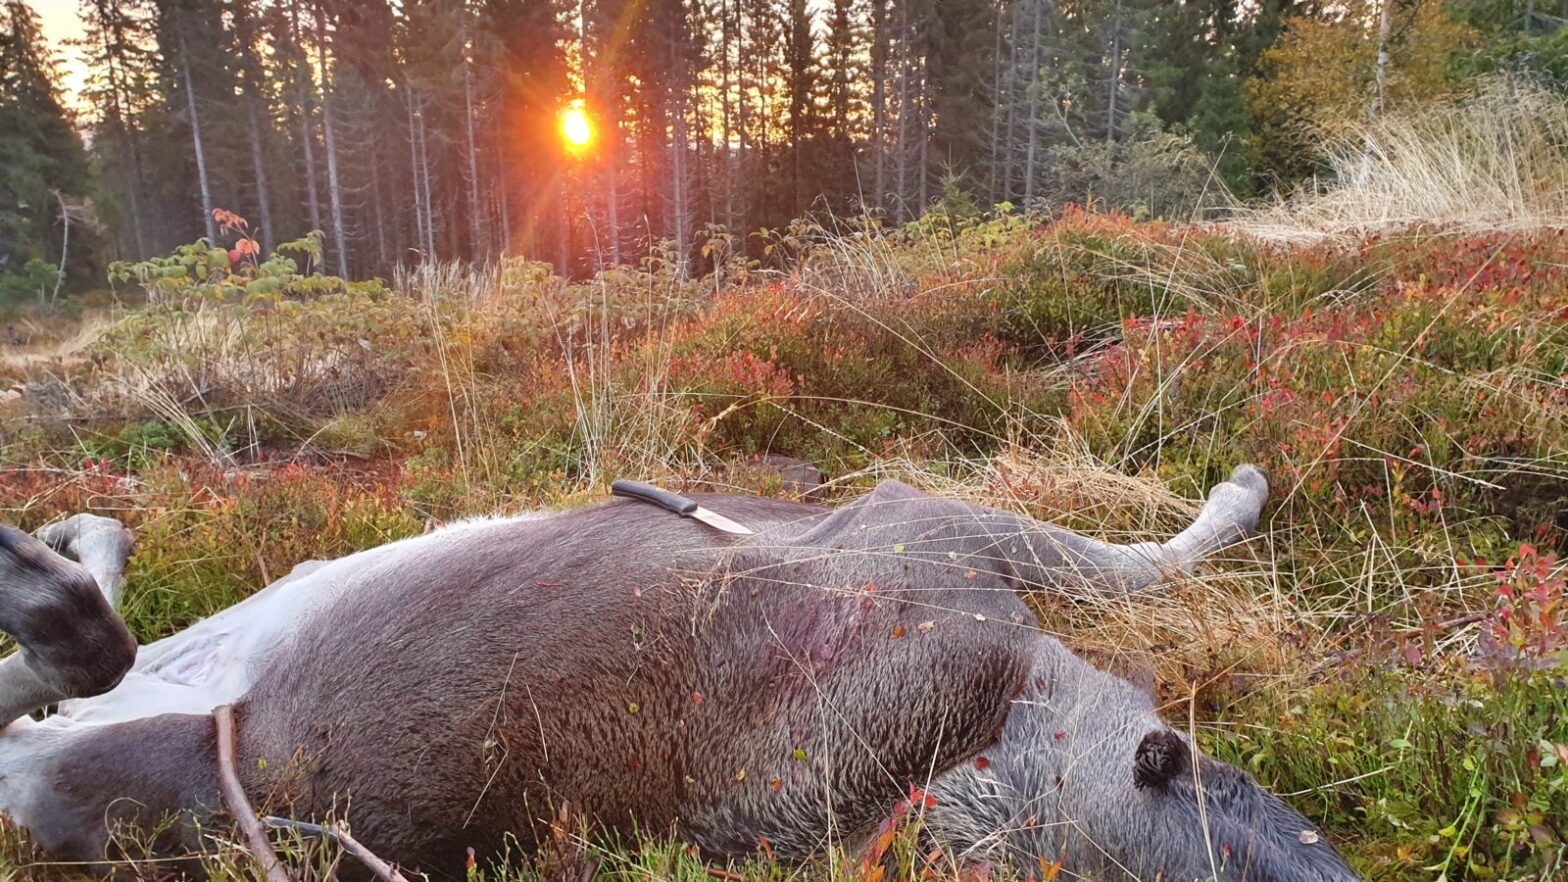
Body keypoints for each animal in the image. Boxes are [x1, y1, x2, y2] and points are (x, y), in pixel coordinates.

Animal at [0, 464, 1361, 872]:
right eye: (1245, 807)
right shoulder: (947, 524)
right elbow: (1154, 556)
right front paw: (1242, 491)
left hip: (117, 732)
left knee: (68, 670)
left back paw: (59, 560)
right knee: (77, 651)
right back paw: (57, 558)